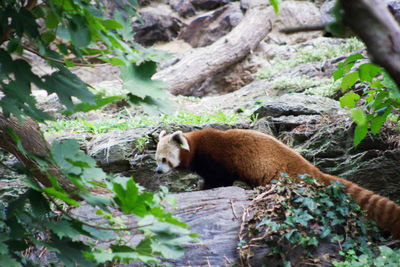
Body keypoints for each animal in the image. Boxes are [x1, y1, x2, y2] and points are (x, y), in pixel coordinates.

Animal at [155, 129, 400, 238]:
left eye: (164, 160)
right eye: (156, 160)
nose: (157, 171)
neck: (195, 145)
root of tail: (310, 169)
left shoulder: (216, 159)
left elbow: (220, 179)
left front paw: (205, 189)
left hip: (282, 175)